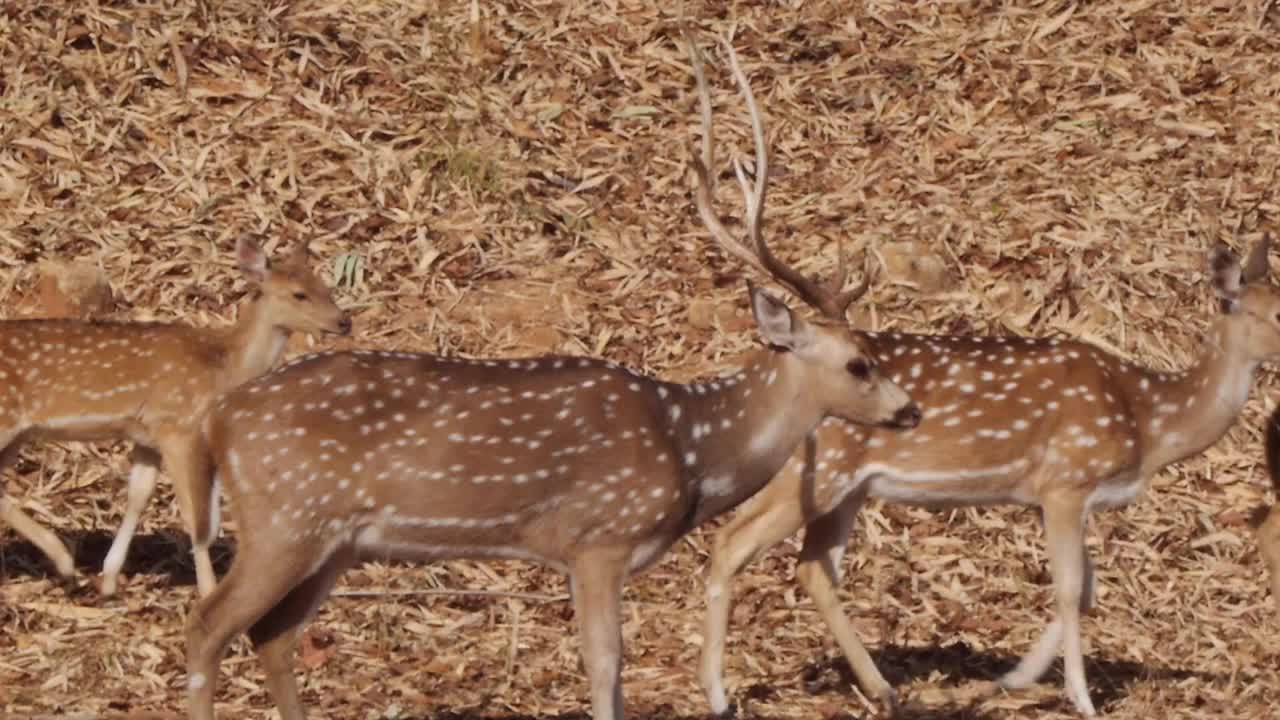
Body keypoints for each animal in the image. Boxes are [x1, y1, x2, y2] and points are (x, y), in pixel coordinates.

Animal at [0, 238, 350, 597]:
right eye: (299, 294)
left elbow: (138, 496)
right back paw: (65, 564)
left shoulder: (148, 434)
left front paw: (108, 580)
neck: (224, 367)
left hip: (17, 434)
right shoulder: (179, 427)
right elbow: (198, 519)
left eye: (325, 286)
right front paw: (207, 591)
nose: (343, 322)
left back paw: (67, 566)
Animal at [180, 36, 921, 717]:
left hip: (329, 539)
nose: (910, 411)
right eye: (859, 363)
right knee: (208, 625)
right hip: (285, 519)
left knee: (272, 635)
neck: (692, 446)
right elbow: (606, 664)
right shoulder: (599, 536)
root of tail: (220, 419)